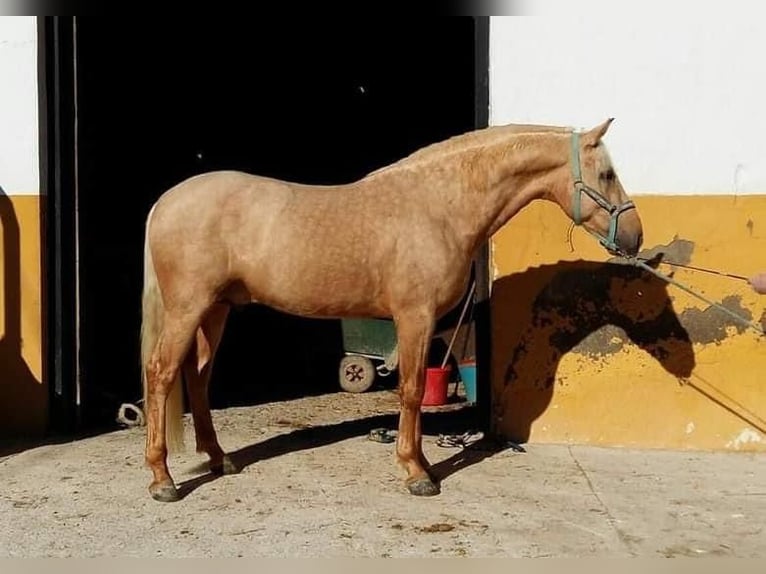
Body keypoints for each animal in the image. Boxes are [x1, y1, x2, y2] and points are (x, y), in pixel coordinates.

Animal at [141, 119, 644, 502]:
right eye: (605, 174)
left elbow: (413, 392)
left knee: (198, 376)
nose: (635, 236)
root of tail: (164, 201)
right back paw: (163, 480)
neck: (439, 206)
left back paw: (219, 458)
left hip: (216, 309)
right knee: (161, 374)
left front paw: (420, 464)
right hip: (189, 307)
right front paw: (416, 473)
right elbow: (413, 390)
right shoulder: (414, 317)